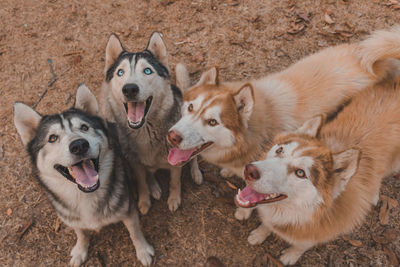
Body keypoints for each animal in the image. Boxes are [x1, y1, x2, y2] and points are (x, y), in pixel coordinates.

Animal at [14, 85, 155, 266]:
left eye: (84, 128)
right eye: (52, 138)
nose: (79, 145)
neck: (85, 195)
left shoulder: (128, 210)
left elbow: (135, 232)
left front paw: (143, 250)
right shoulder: (73, 219)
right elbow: (80, 233)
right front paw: (80, 250)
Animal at [101, 31, 203, 216]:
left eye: (147, 71)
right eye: (120, 72)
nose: (129, 89)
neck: (145, 132)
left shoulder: (175, 162)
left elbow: (175, 182)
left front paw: (174, 199)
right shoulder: (136, 163)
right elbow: (142, 182)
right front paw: (144, 200)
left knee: (193, 157)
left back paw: (195, 172)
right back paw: (153, 187)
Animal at [166, 26, 400, 221]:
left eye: (212, 122)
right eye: (190, 107)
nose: (173, 137)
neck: (254, 136)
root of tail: (378, 63)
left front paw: (244, 211)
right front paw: (228, 173)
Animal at [236, 79, 400, 266]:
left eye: (300, 173)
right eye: (279, 150)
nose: (250, 170)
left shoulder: (317, 233)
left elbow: (302, 245)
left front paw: (291, 255)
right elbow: (266, 226)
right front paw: (259, 234)